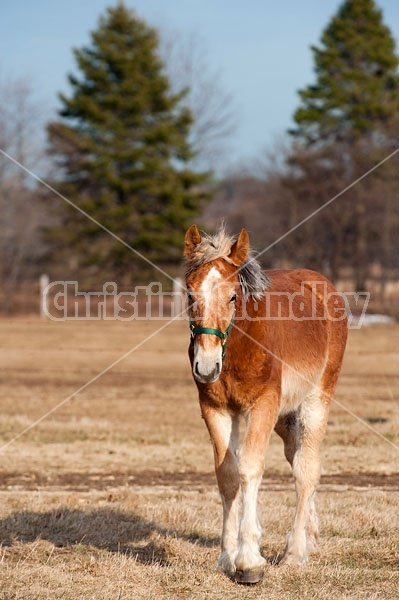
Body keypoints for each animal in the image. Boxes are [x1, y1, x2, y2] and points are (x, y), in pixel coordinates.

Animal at [184, 223, 346, 584]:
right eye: (189, 294)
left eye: (233, 296)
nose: (206, 366)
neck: (242, 342)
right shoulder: (215, 409)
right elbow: (228, 474)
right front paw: (226, 557)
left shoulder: (263, 406)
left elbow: (250, 467)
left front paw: (249, 562)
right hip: (286, 418)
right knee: (296, 456)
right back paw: (309, 534)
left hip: (315, 399)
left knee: (306, 468)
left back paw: (295, 552)